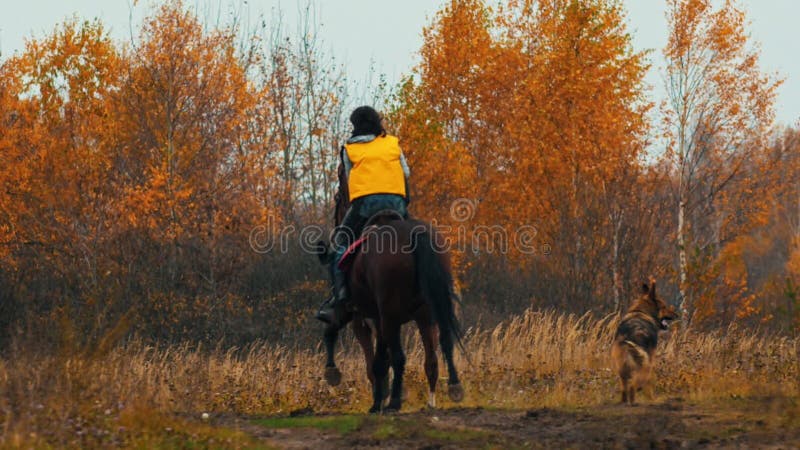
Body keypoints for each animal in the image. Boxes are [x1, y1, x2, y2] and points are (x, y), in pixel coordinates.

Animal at [316, 166, 466, 414]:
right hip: (427, 313)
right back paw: (446, 391)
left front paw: (377, 400)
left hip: (389, 315)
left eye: (338, 196)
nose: (335, 221)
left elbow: (376, 361)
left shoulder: (364, 319)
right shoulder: (385, 318)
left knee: (399, 357)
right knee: (438, 351)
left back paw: (394, 401)